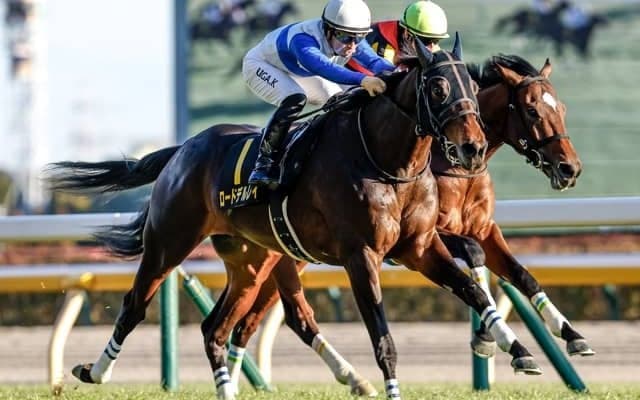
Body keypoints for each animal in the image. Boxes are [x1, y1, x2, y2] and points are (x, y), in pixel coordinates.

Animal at [45, 39, 541, 400]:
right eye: (438, 88)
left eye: (471, 88)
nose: (473, 148)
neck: (389, 161)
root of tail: (183, 149)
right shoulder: (361, 256)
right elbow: (382, 335)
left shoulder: (419, 247)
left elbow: (473, 289)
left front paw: (519, 351)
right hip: (170, 241)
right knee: (136, 306)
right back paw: (95, 371)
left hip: (251, 260)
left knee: (217, 329)